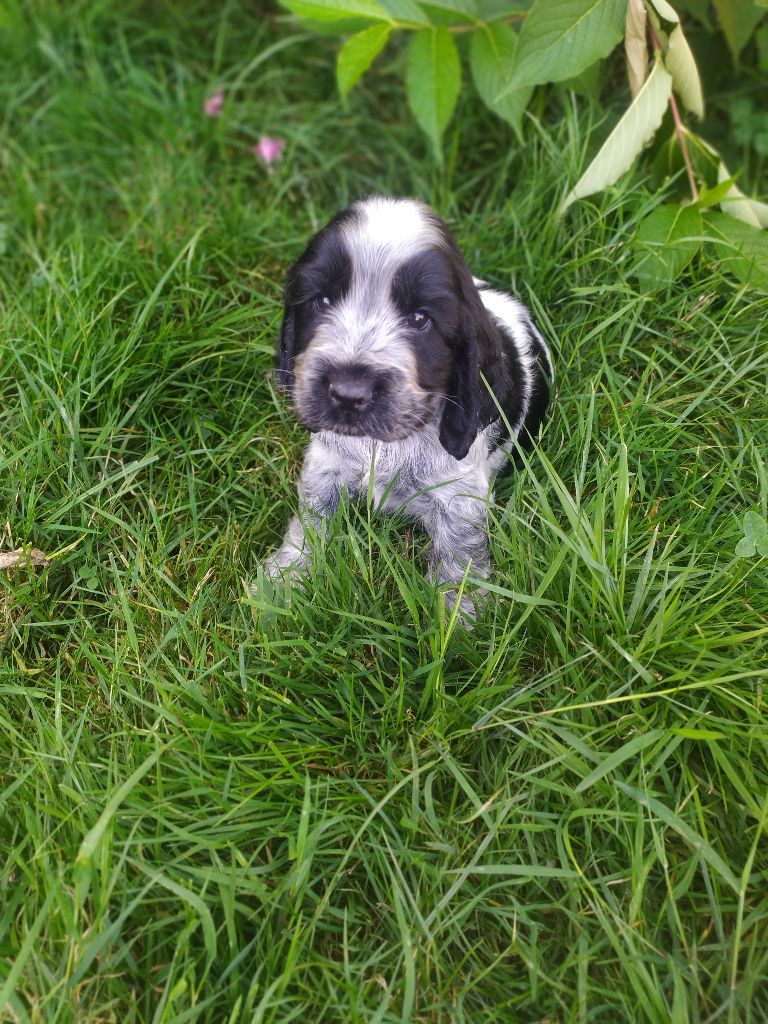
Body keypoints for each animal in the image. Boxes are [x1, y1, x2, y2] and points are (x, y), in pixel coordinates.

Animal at [264, 197, 552, 614]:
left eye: (420, 319)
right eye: (322, 300)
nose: (348, 392)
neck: (385, 442)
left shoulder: (460, 496)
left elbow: (460, 556)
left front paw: (458, 617)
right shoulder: (326, 464)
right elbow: (310, 521)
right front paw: (283, 582)